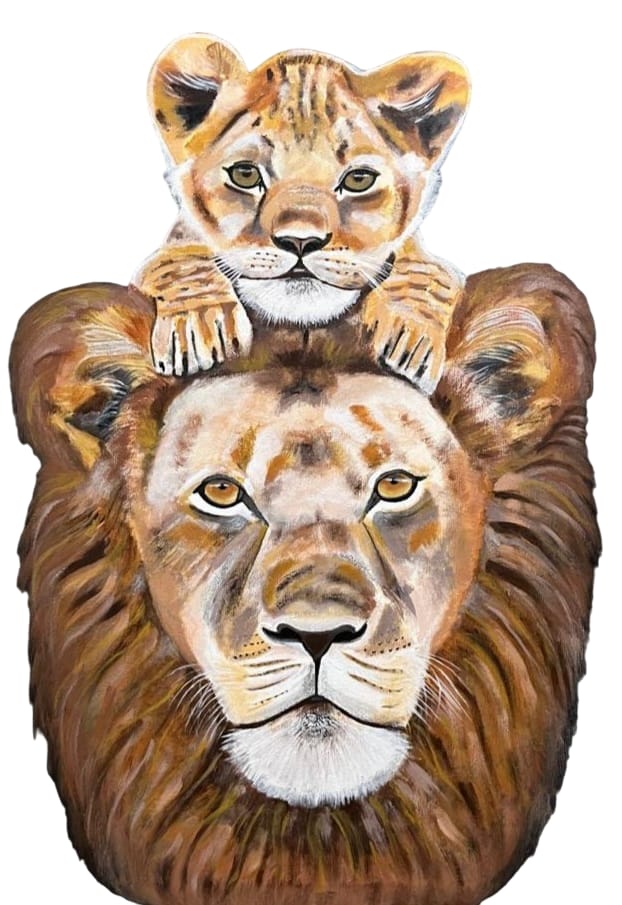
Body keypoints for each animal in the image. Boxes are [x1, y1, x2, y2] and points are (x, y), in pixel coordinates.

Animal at [135, 34, 468, 388]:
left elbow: (430, 270)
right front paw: (198, 325)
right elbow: (178, 255)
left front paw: (411, 339)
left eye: (359, 180)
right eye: (245, 174)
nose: (300, 241)